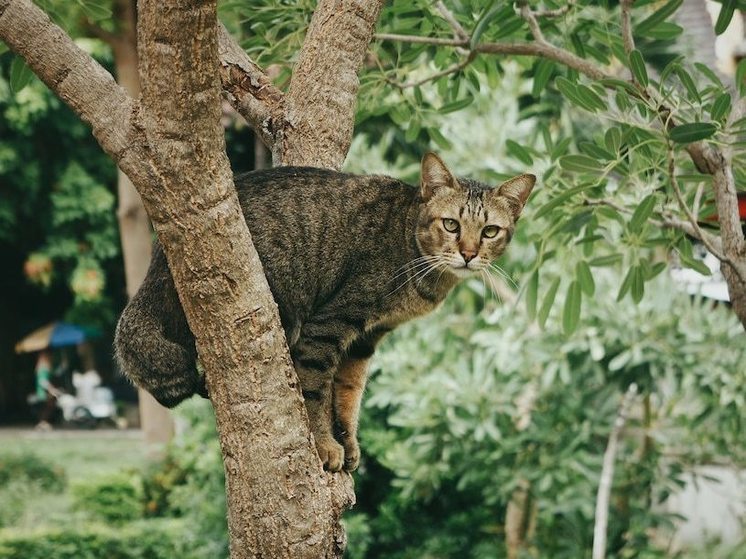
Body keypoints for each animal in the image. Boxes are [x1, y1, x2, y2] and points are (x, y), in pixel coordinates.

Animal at [113, 152, 532, 472]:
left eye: (490, 231)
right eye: (451, 225)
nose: (468, 254)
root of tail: (159, 256)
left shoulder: (366, 338)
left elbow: (348, 396)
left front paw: (348, 441)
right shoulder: (330, 324)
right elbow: (315, 391)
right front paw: (325, 444)